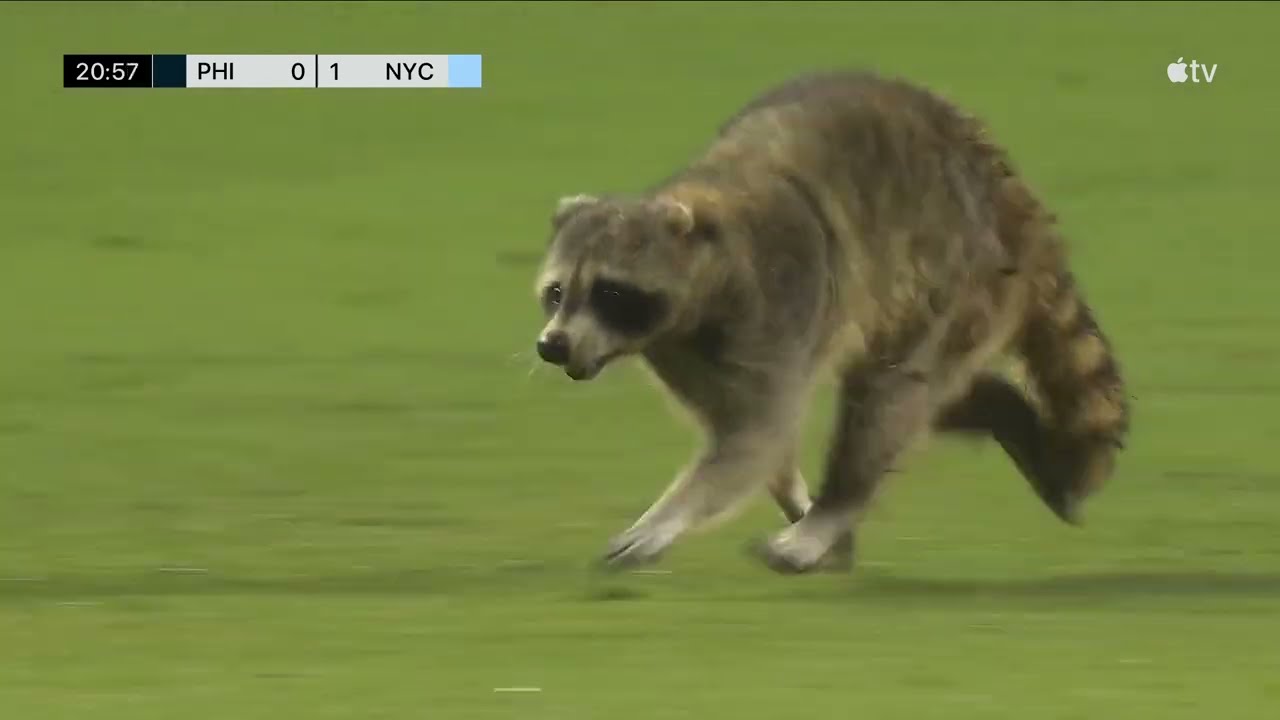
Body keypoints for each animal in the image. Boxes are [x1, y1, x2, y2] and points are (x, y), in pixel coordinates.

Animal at [532, 71, 1130, 574]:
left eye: (610, 292)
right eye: (557, 293)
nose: (552, 346)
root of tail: (1009, 189)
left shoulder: (780, 293)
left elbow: (754, 435)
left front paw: (667, 517)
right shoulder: (680, 350)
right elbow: (755, 435)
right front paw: (793, 495)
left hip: (959, 274)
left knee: (889, 395)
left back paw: (830, 513)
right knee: (927, 394)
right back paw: (999, 410)